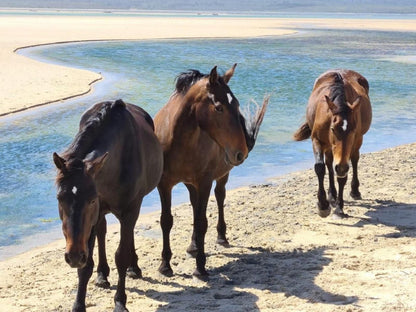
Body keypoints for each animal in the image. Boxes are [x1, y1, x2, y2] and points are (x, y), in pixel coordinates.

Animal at [54, 100, 164, 312]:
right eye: (59, 198)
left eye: (91, 200)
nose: (73, 256)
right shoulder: (92, 218)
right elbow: (86, 263)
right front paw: (79, 304)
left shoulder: (129, 209)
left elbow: (121, 255)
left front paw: (120, 301)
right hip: (100, 215)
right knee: (102, 232)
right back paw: (102, 274)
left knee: (127, 234)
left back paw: (133, 267)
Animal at [154, 64, 268, 280]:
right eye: (219, 107)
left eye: (237, 104)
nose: (241, 151)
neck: (179, 140)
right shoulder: (164, 184)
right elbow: (166, 221)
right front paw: (165, 265)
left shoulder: (204, 183)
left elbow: (201, 222)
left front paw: (200, 267)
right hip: (190, 184)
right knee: (194, 205)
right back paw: (193, 246)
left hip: (221, 176)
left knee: (220, 197)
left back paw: (221, 237)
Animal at [294, 69, 372, 218]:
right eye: (332, 129)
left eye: (353, 130)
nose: (340, 167)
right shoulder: (317, 140)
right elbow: (320, 167)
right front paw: (323, 205)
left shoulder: (349, 148)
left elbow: (342, 175)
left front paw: (339, 208)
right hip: (328, 147)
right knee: (330, 164)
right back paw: (332, 195)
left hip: (356, 143)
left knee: (354, 160)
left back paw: (354, 191)